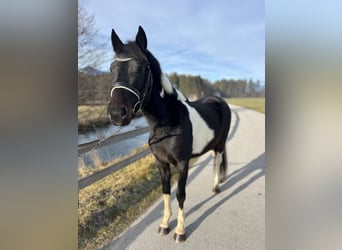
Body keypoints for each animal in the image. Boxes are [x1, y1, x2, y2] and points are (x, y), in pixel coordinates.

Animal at [107, 25, 231, 242]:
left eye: (140, 68)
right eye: (112, 69)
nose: (116, 114)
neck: (167, 124)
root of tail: (219, 101)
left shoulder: (182, 163)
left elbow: (180, 193)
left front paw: (180, 231)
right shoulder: (161, 163)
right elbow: (166, 192)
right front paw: (164, 225)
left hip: (221, 143)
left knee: (217, 162)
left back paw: (216, 187)